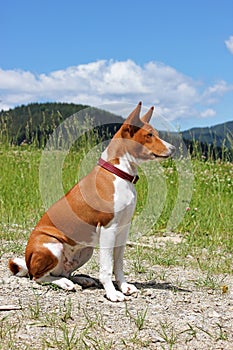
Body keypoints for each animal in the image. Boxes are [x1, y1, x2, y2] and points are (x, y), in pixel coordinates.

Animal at [9, 102, 176, 302]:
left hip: (85, 251)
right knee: (38, 277)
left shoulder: (123, 229)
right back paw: (64, 284)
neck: (119, 173)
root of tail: (27, 261)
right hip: (52, 245)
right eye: (150, 135)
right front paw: (112, 293)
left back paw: (80, 279)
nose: (174, 148)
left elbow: (118, 265)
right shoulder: (108, 229)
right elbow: (106, 267)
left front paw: (124, 287)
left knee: (63, 272)